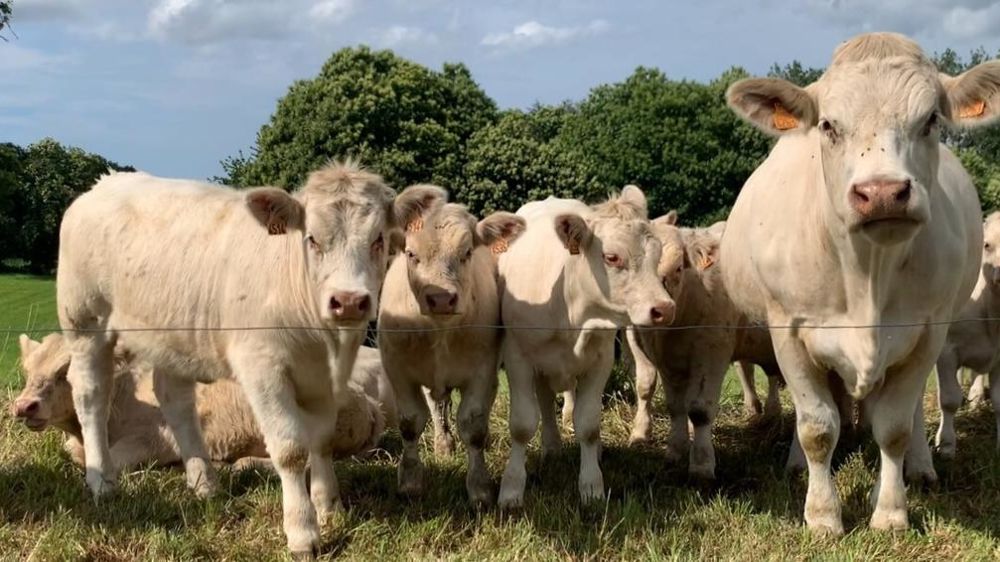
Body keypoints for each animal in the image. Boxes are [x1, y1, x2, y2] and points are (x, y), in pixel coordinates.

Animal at [13, 333, 391, 470]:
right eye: (28, 369)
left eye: (66, 371)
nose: (24, 406)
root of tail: (368, 403)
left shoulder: (151, 442)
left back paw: (240, 465)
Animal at [55, 162, 444, 558]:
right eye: (312, 239)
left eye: (379, 239)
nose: (349, 301)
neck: (321, 337)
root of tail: (106, 181)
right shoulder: (263, 369)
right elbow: (290, 449)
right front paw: (302, 532)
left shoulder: (325, 377)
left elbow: (322, 440)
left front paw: (328, 506)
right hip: (84, 320)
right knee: (91, 395)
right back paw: (102, 481)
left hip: (172, 335)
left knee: (175, 400)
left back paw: (204, 482)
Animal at [378, 196, 525, 507]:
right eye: (411, 254)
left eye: (467, 252)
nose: (442, 298)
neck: (440, 331)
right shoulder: (398, 369)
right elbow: (410, 422)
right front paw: (410, 482)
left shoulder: (483, 371)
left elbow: (473, 425)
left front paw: (479, 487)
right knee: (437, 407)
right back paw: (443, 445)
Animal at [496, 187, 673, 508]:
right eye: (612, 257)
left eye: (657, 256)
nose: (664, 309)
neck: (570, 309)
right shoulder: (518, 359)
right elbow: (522, 424)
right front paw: (512, 488)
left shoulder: (599, 362)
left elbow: (588, 425)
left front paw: (591, 486)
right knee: (544, 402)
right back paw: (551, 447)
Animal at [722, 32, 993, 534]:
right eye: (828, 125)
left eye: (931, 121)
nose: (882, 193)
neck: (867, 272)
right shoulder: (788, 331)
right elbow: (817, 426)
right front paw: (822, 515)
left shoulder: (928, 333)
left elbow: (895, 425)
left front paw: (890, 511)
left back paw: (919, 468)